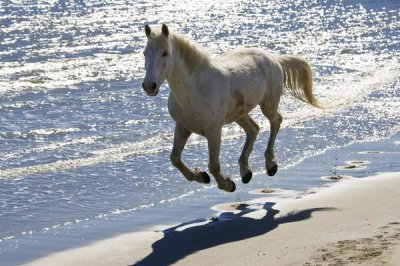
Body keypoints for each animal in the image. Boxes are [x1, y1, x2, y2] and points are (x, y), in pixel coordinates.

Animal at [141, 23, 322, 192]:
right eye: (144, 53)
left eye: (165, 53)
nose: (149, 86)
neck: (197, 90)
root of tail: (273, 58)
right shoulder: (182, 127)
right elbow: (175, 159)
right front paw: (202, 177)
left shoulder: (214, 131)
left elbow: (213, 165)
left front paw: (228, 185)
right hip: (239, 114)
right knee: (253, 129)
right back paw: (245, 172)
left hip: (268, 104)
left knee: (276, 121)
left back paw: (270, 165)